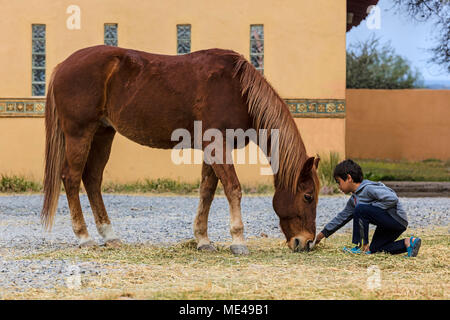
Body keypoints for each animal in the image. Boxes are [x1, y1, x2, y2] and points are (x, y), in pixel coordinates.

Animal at [40, 45, 318, 255]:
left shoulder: (212, 148)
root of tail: (63, 65)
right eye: (308, 196)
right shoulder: (218, 144)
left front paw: (203, 240)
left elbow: (207, 191)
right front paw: (238, 241)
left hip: (103, 133)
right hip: (79, 133)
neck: (237, 89)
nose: (305, 242)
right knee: (71, 178)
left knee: (92, 179)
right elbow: (233, 189)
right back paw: (84, 237)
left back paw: (109, 235)